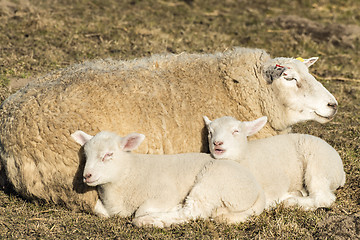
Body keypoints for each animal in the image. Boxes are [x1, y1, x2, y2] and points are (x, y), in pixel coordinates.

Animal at [71, 130, 266, 228]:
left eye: (108, 155)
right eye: (85, 155)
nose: (86, 176)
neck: (128, 173)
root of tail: (257, 190)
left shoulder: (165, 193)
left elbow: (141, 210)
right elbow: (99, 211)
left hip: (212, 182)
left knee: (193, 212)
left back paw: (150, 221)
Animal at [202, 115, 346, 210]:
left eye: (236, 131)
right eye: (210, 132)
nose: (217, 143)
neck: (246, 158)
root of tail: (341, 171)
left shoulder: (278, 181)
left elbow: (268, 200)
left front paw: (289, 197)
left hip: (319, 165)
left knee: (324, 198)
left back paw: (293, 202)